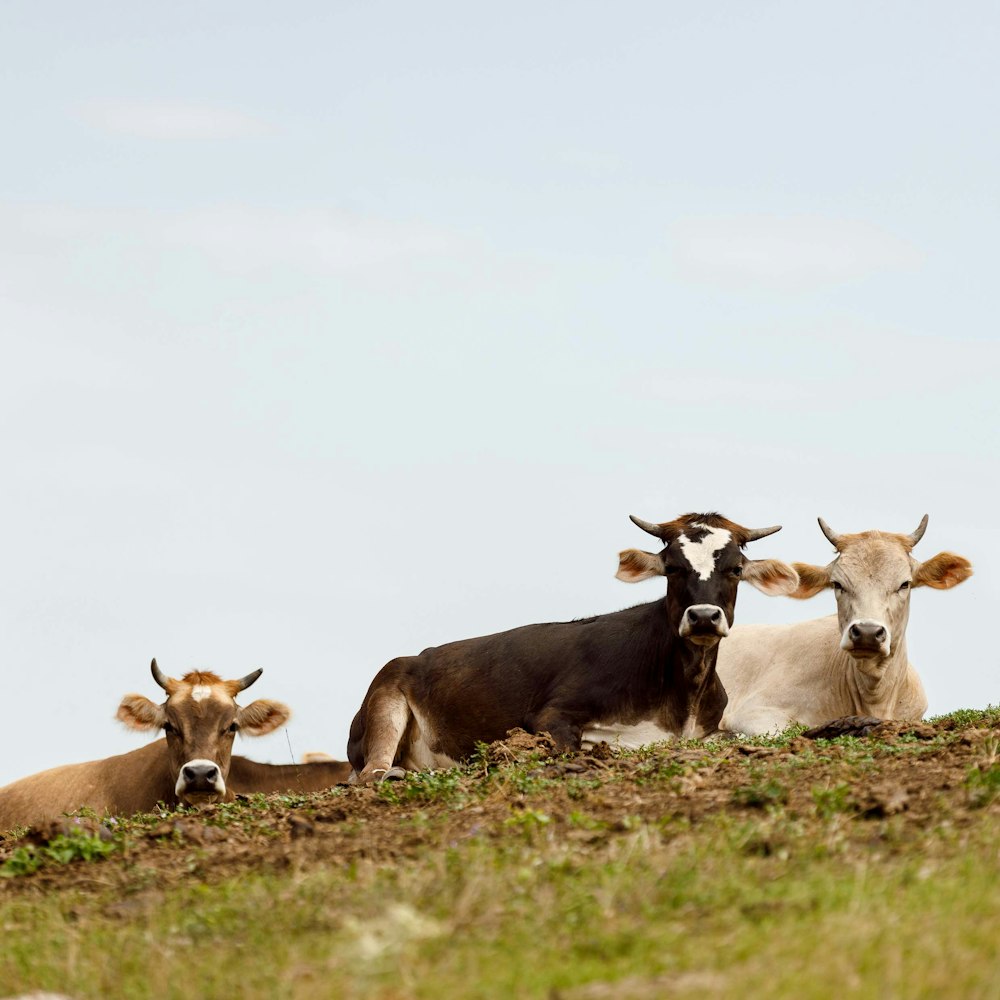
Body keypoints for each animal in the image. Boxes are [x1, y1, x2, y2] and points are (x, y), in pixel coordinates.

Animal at [348, 512, 800, 784]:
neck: (682, 694)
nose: (704, 616)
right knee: (371, 772)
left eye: (735, 569)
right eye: (673, 567)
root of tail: (416, 656)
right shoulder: (549, 716)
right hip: (386, 695)